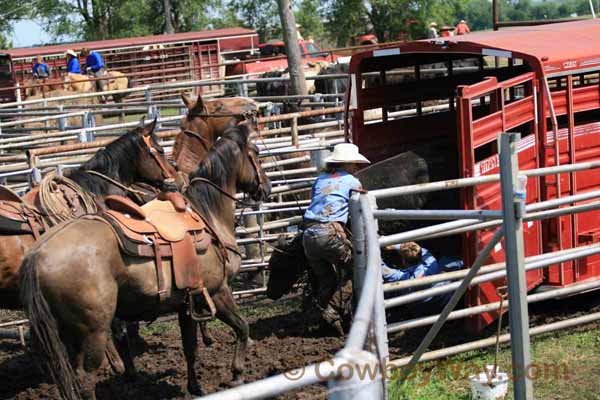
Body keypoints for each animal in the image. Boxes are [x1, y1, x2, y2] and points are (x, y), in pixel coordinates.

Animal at [19, 123, 270, 398]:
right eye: (257, 153)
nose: (267, 187)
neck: (207, 214)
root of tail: (37, 255)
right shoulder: (217, 291)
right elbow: (242, 327)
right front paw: (237, 374)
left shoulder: (186, 303)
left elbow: (190, 348)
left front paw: (195, 387)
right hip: (92, 331)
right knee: (85, 378)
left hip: (65, 333)